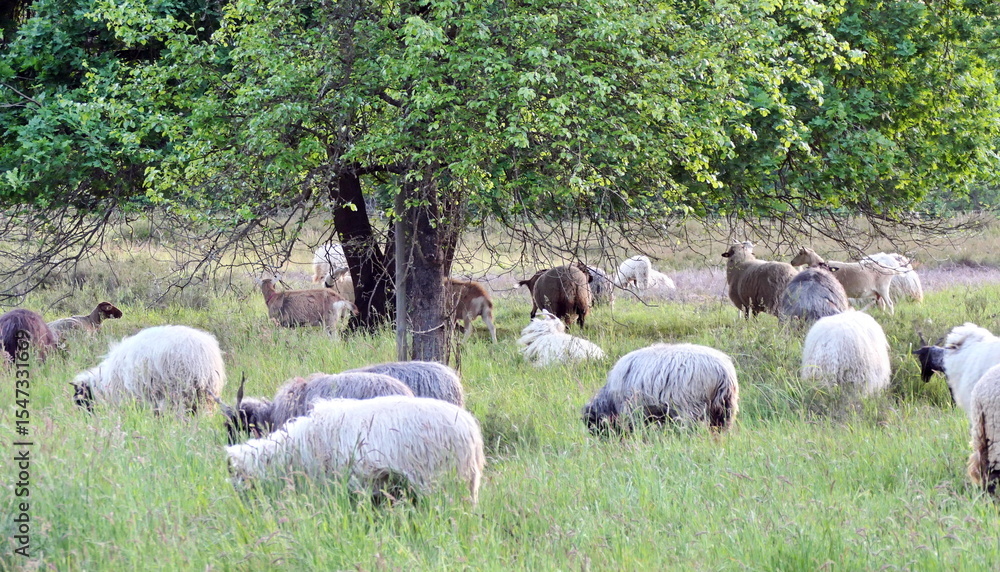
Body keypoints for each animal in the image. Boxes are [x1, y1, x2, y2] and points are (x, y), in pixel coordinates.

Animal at [583, 343, 739, 434]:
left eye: (593, 424)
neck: (610, 399)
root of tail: (722, 371)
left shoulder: (632, 410)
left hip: (691, 408)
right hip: (725, 408)